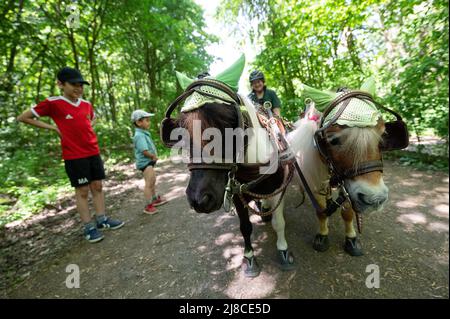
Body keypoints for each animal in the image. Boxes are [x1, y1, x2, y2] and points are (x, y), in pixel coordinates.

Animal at [286, 89, 410, 256]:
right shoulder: (316, 178)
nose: (375, 199)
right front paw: (322, 234)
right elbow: (320, 210)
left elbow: (348, 212)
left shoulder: (347, 185)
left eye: (382, 137)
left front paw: (351, 238)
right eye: (333, 140)